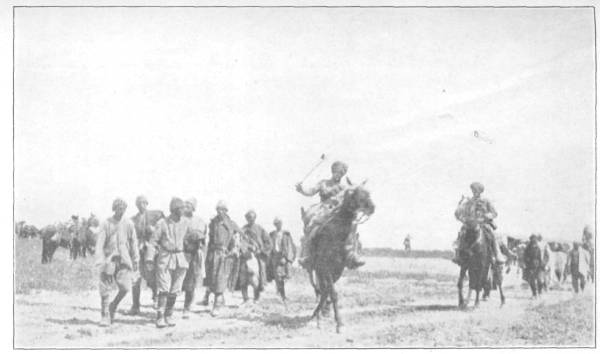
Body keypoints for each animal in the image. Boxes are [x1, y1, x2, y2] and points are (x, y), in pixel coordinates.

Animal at [310, 187, 376, 334]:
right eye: (357, 193)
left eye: (368, 192)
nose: (372, 207)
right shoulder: (326, 268)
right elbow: (333, 294)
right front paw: (339, 324)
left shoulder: (337, 269)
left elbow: (329, 292)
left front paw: (337, 321)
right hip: (319, 270)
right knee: (323, 289)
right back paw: (317, 315)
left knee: (324, 291)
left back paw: (318, 314)